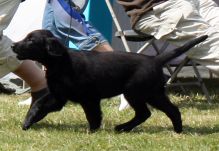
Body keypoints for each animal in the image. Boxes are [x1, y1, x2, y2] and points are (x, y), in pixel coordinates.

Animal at [12, 29, 207, 132]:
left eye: (31, 40)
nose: (13, 45)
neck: (60, 63)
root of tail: (154, 59)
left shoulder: (89, 98)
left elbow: (93, 115)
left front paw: (92, 131)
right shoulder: (58, 96)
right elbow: (38, 105)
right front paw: (28, 121)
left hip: (135, 92)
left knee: (147, 112)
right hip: (152, 93)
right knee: (163, 111)